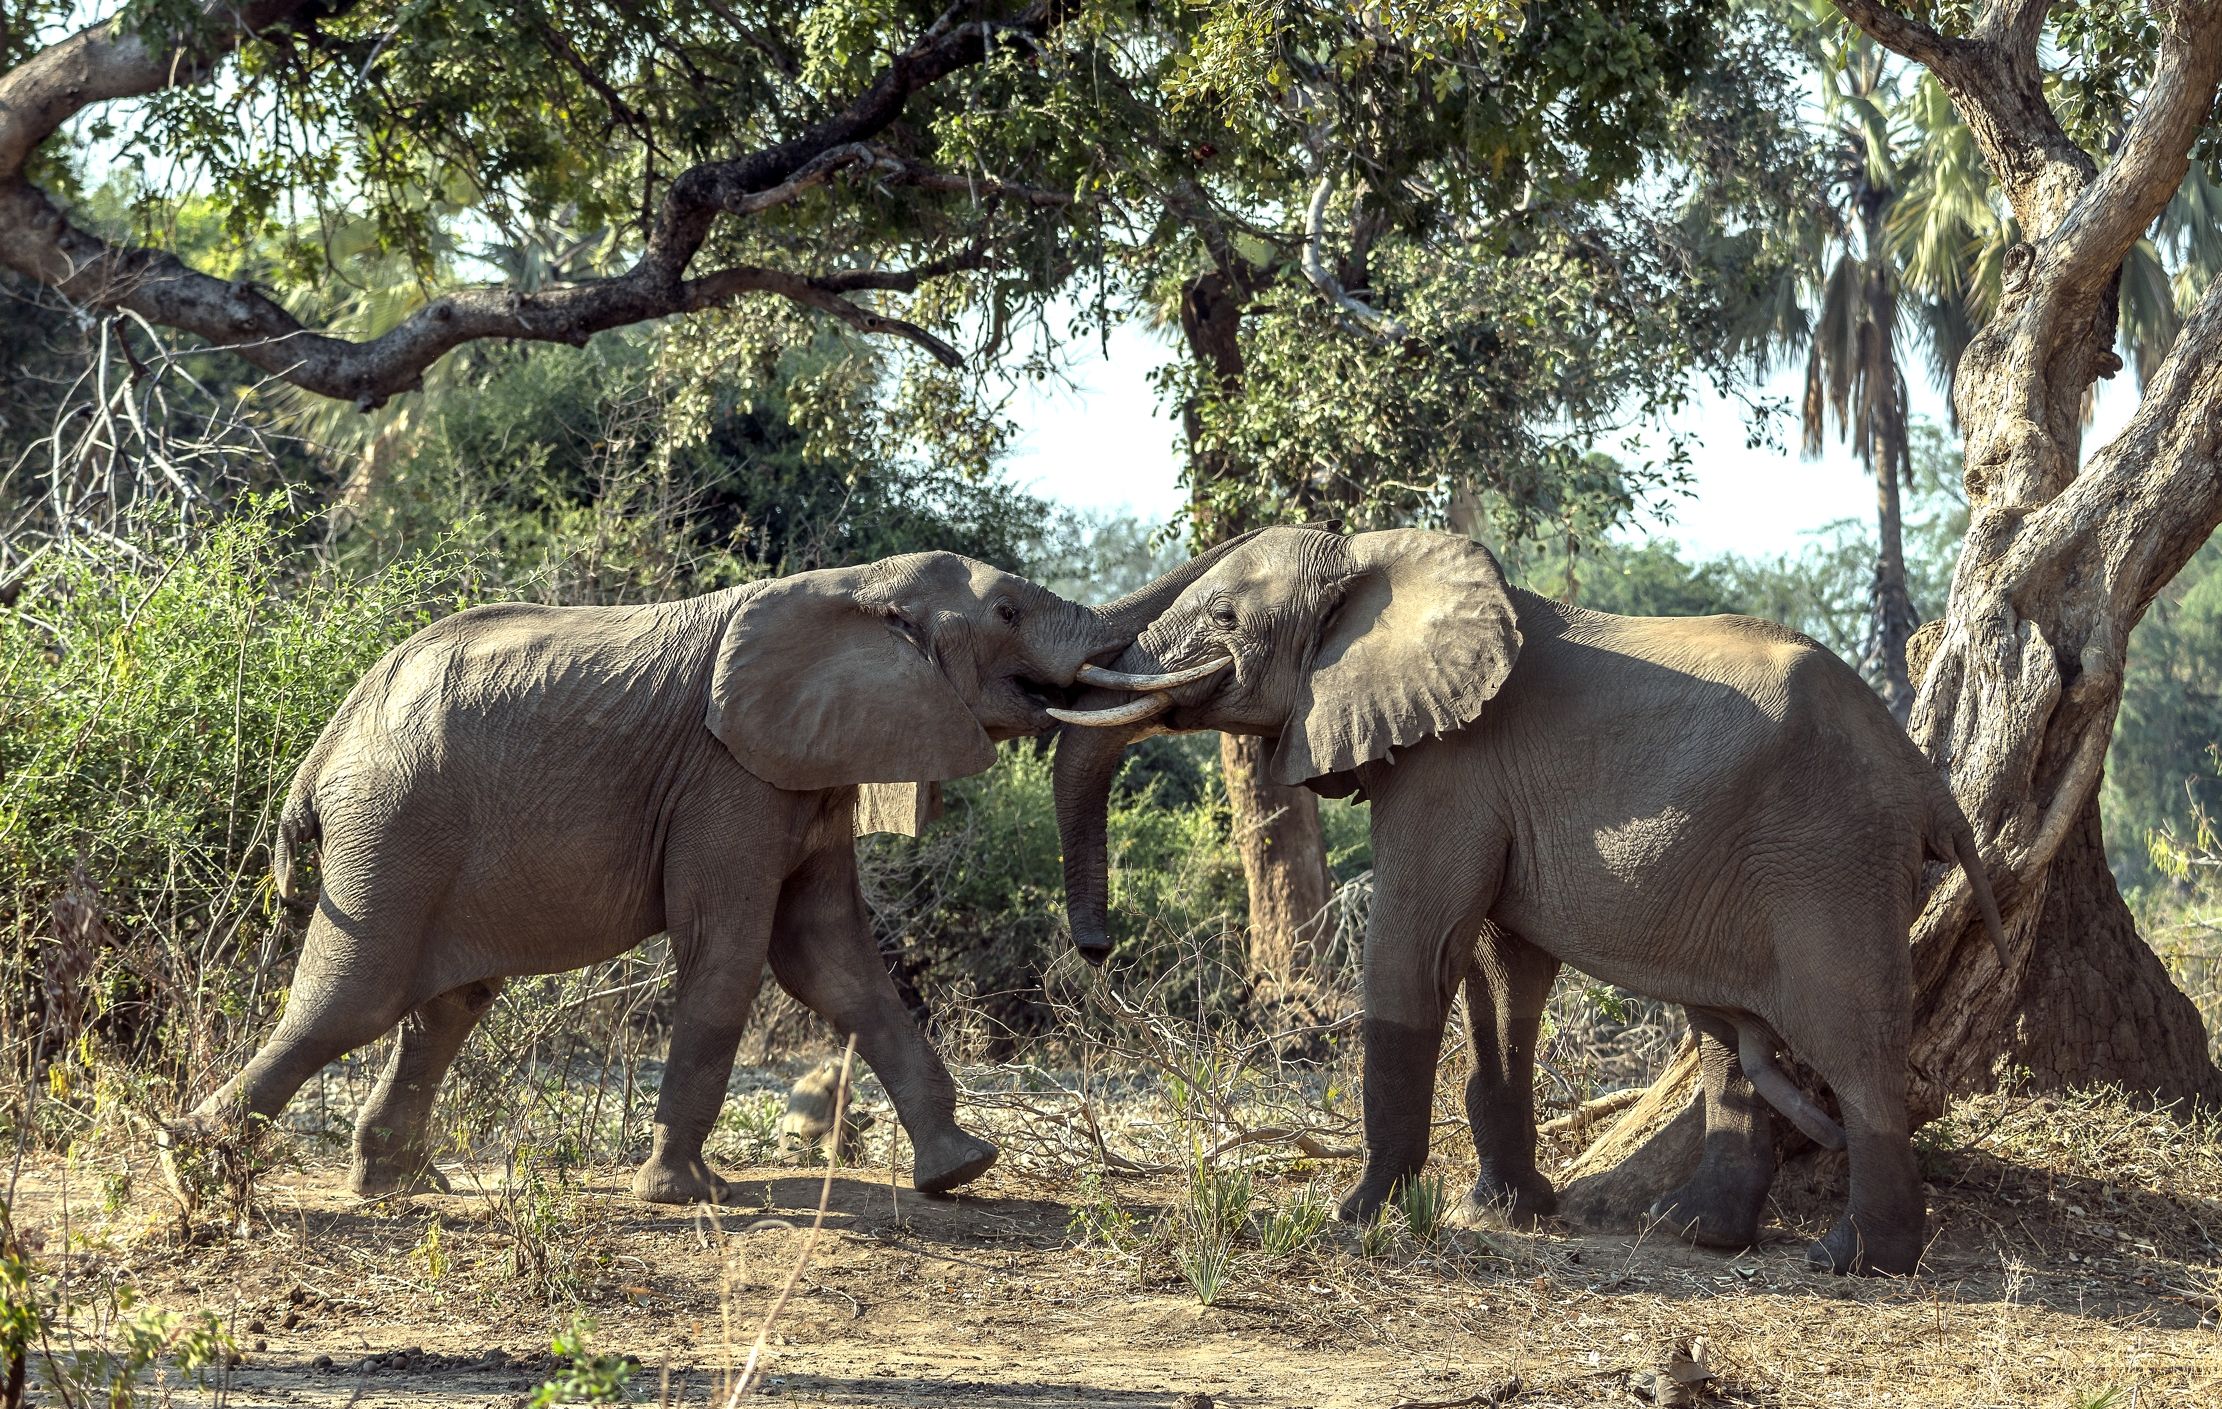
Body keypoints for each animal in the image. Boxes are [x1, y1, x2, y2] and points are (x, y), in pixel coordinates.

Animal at [170, 543, 1246, 1206]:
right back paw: (190, 1164)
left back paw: (391, 1184)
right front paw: (685, 1193)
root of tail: (327, 740)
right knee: (349, 998)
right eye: (1008, 609)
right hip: (393, 828)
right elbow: (731, 954)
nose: (1097, 950)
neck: (854, 582)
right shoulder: (730, 777)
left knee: (448, 1003)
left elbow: (832, 963)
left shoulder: (804, 771)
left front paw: (960, 1171)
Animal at [1048, 525, 2004, 1275]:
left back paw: (1857, 1260)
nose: (1095, 950)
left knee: (1853, 1043)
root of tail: (1927, 780)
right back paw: (1695, 1232)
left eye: (1224, 619)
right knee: (1731, 1039)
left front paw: (1359, 1214)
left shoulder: (1452, 765)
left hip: (1831, 855)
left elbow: (1414, 951)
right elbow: (1503, 976)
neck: (1377, 561)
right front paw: (1508, 1209)